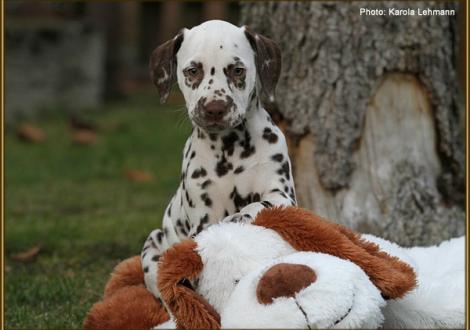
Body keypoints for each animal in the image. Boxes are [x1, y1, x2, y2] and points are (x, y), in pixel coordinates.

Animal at [140, 20, 296, 300]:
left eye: (237, 70)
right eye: (192, 71)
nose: (214, 108)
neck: (229, 150)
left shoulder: (283, 195)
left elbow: (259, 205)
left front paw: (238, 218)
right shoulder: (202, 216)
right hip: (152, 243)